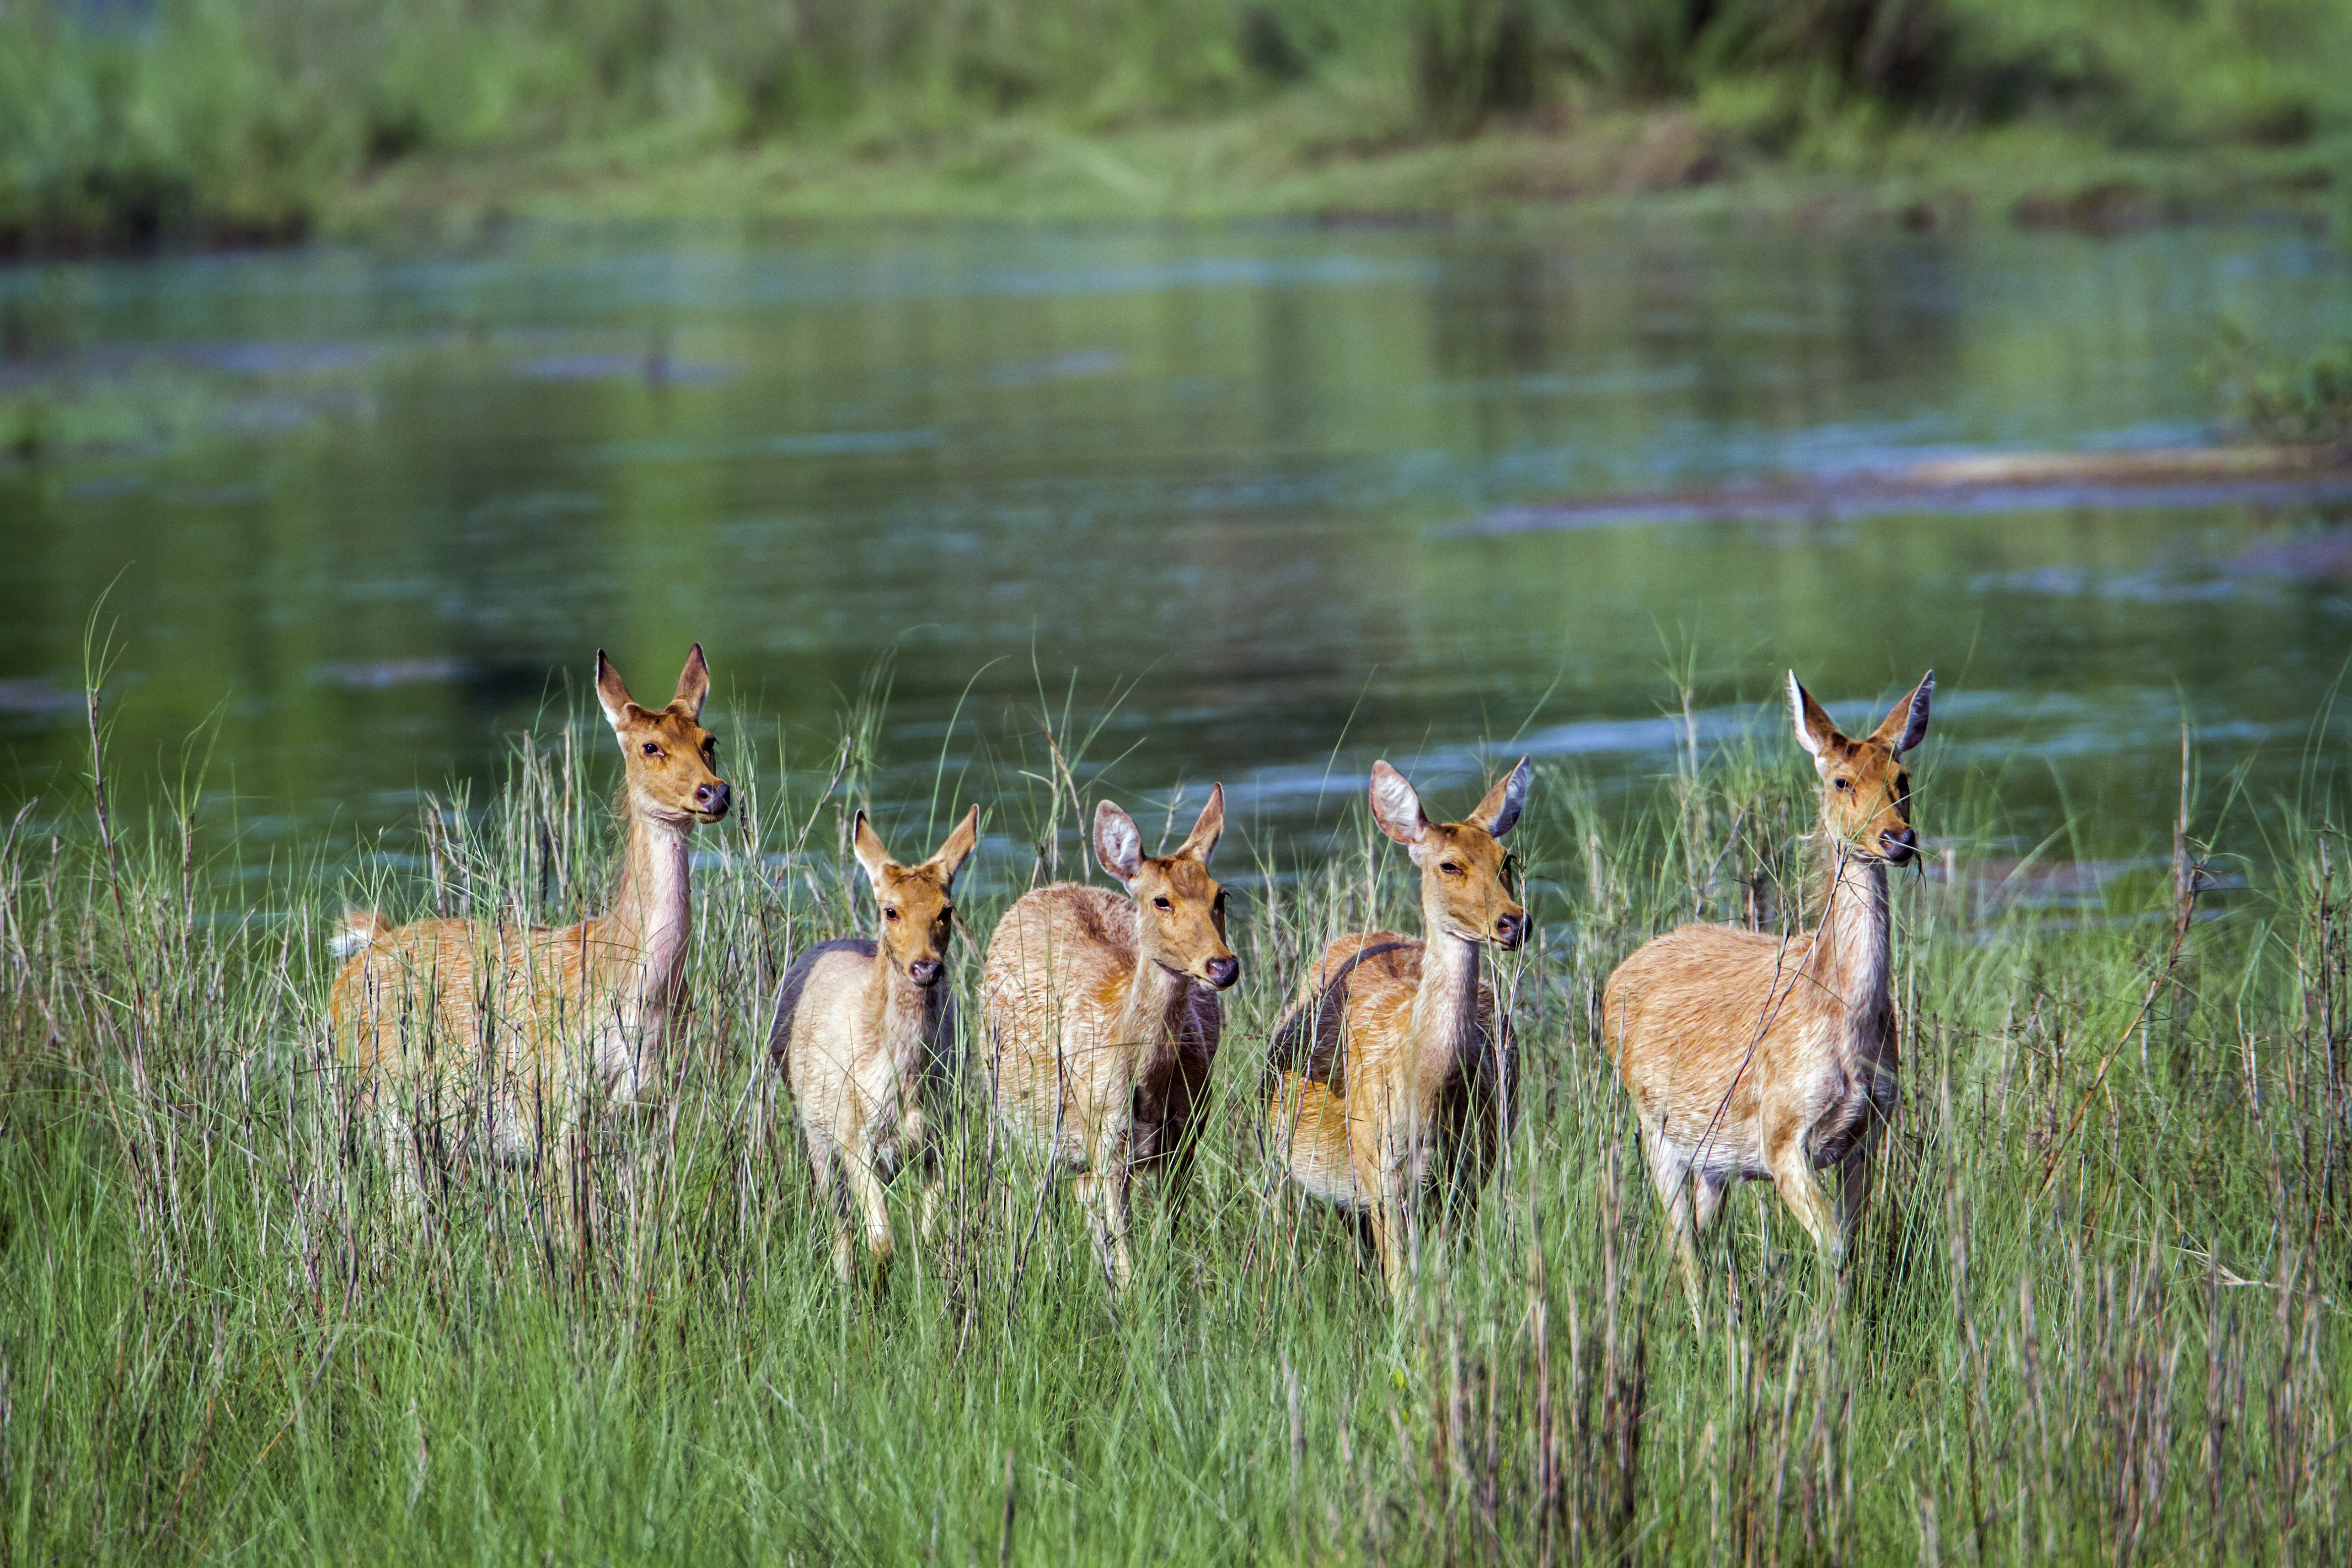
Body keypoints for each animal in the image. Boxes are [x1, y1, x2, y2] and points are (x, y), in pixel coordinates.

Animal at [322, 639, 724, 1250]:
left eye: (709, 742)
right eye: (650, 745)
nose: (714, 792)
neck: (633, 987)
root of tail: (361, 956)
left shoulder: (653, 1104)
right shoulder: (553, 1097)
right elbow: (571, 1227)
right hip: (383, 1097)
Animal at [776, 804, 978, 1297]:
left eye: (947, 910)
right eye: (891, 910)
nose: (926, 967)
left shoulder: (940, 1139)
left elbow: (933, 1234)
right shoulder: (855, 1138)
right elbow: (881, 1241)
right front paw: (875, 1299)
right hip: (814, 1130)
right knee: (838, 1223)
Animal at [978, 790, 1242, 1297]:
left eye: (1221, 894)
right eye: (1161, 900)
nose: (1222, 966)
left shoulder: (1188, 1132)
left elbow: (1163, 1235)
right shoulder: (1105, 1135)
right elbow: (1124, 1248)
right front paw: (1129, 1300)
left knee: (1081, 1195)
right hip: (1018, 1113)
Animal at [1261, 761, 1533, 1297]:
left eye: (1505, 859)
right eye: (1449, 865)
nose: (1514, 922)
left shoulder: (1471, 1169)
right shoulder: (1379, 1171)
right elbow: (1401, 1281)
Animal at [1599, 672, 1928, 1326]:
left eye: (1902, 778)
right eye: (1840, 780)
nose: (1898, 839)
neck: (1843, 1024)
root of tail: (1613, 978)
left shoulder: (1869, 1129)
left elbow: (1850, 1241)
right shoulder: (1781, 1133)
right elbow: (1832, 1244)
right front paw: (1829, 1334)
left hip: (1710, 1160)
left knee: (1695, 1238)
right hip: (1654, 1129)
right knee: (1681, 1246)